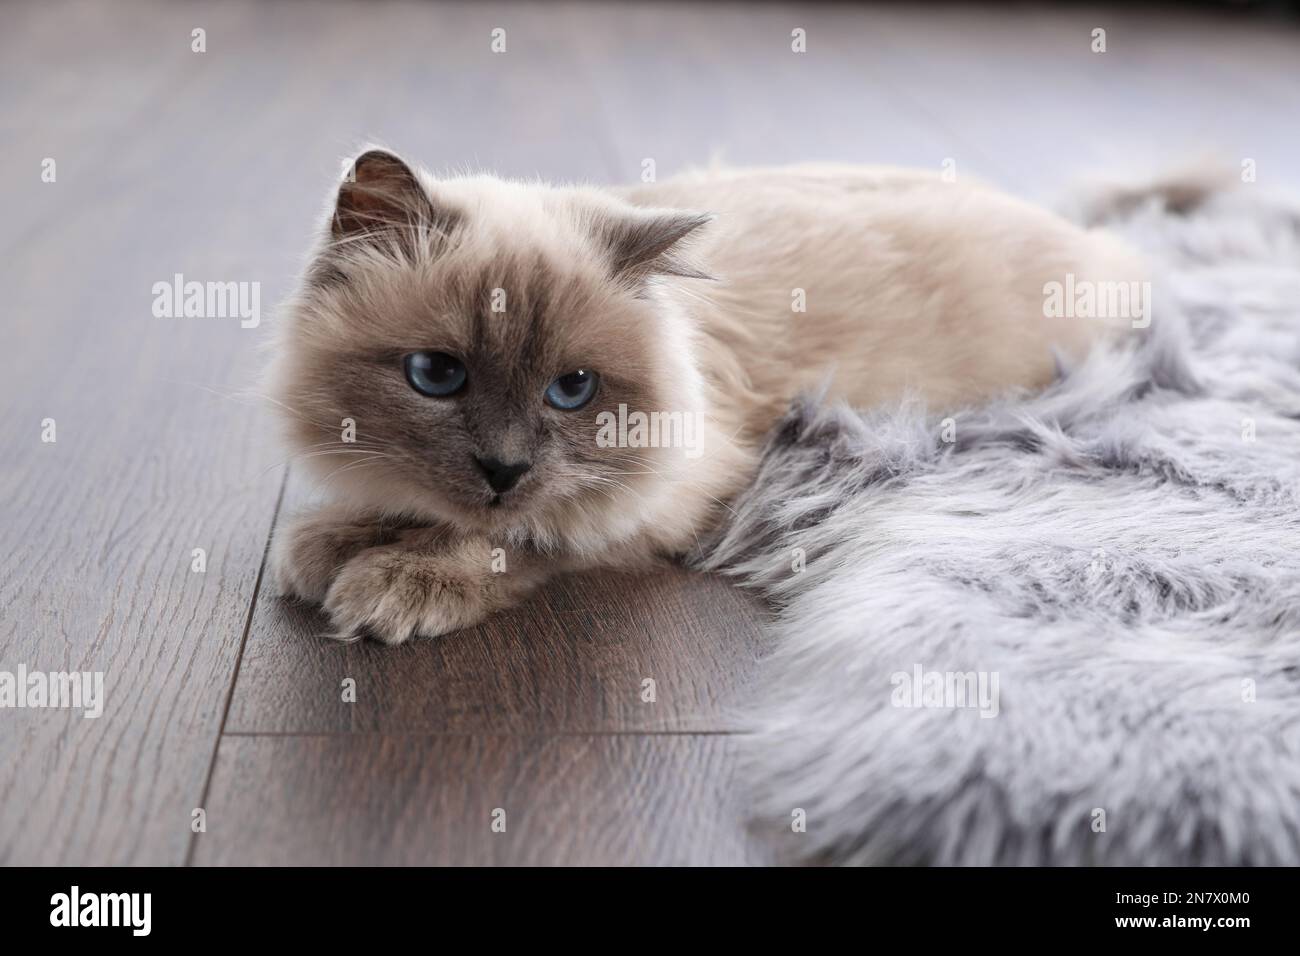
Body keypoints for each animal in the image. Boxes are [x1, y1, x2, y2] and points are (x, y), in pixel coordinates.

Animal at [269, 149, 1144, 642]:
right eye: (437, 376)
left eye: (571, 390)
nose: (504, 470)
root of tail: (1100, 243)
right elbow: (414, 509)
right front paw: (338, 539)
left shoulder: (671, 494)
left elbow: (517, 538)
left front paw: (396, 581)